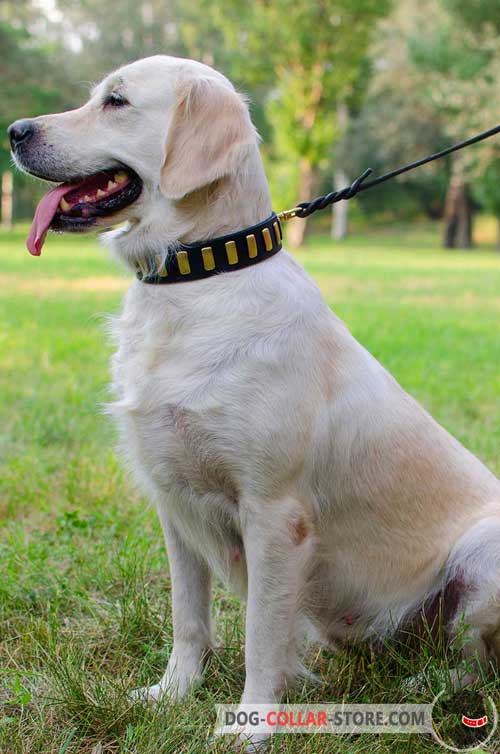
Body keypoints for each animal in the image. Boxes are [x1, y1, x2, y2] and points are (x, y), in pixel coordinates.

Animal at [9, 54, 500, 748]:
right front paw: (171, 694)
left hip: (486, 556)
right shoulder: (174, 500)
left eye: (117, 102)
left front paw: (251, 725)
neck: (198, 273)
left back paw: (423, 696)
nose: (15, 131)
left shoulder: (274, 513)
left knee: (475, 661)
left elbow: (262, 636)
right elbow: (189, 618)